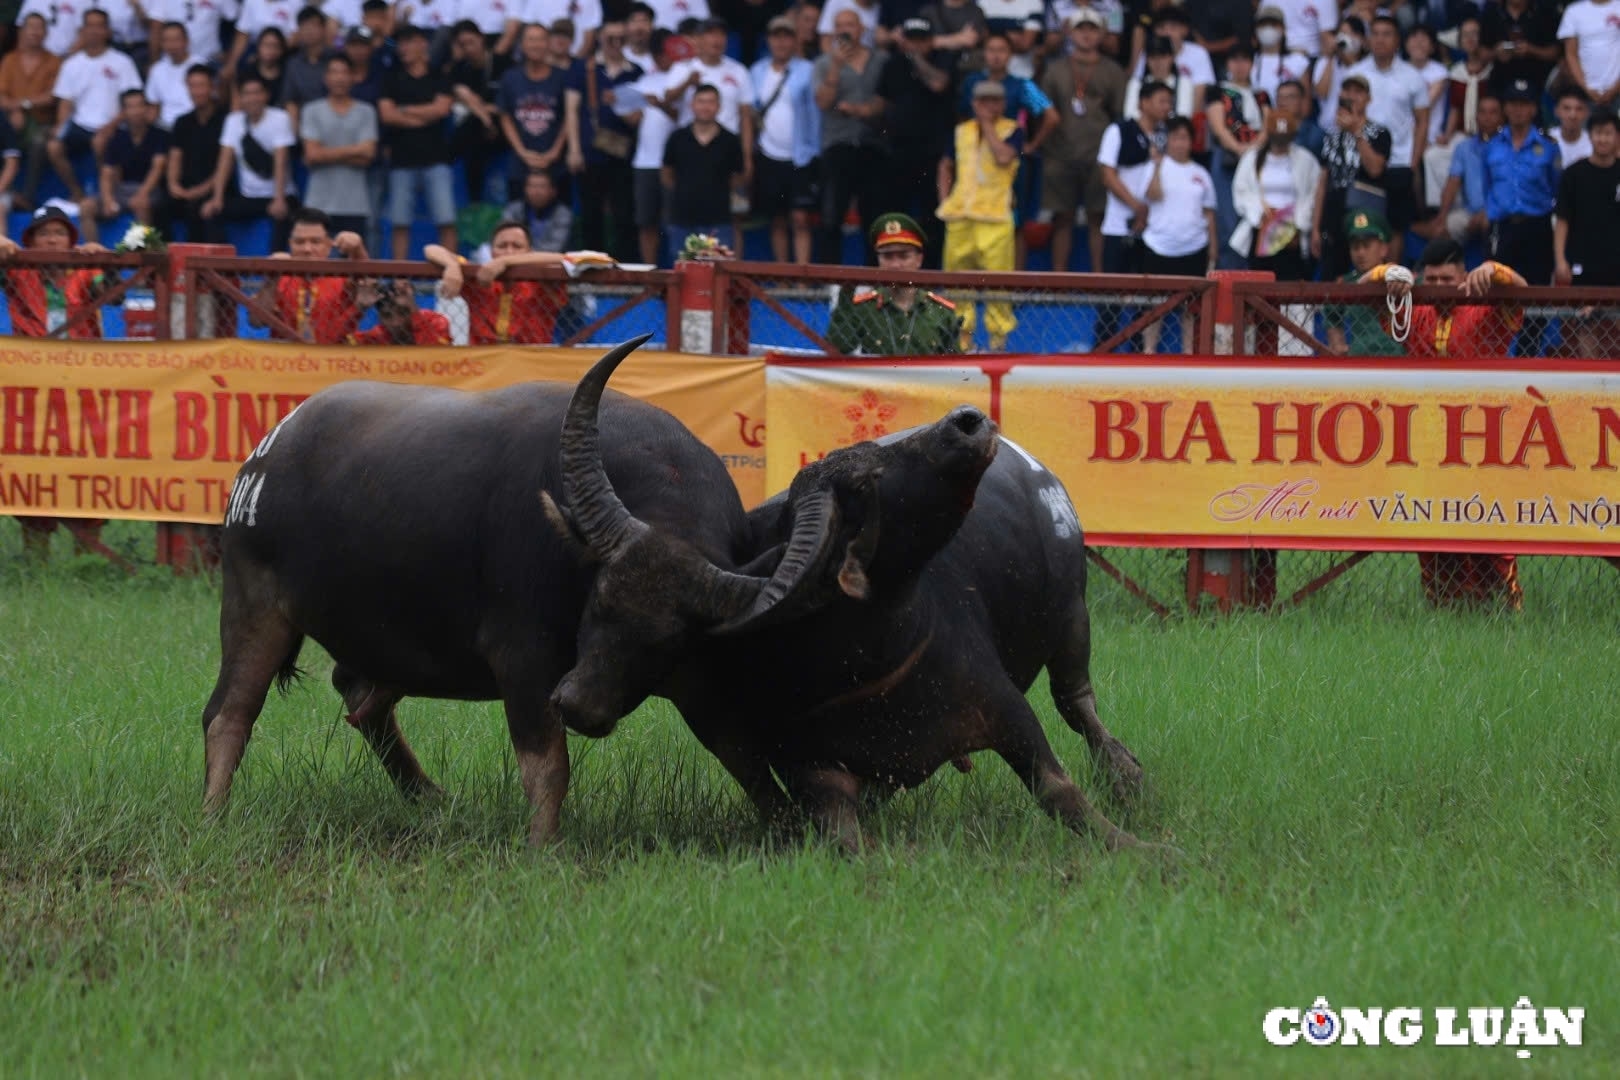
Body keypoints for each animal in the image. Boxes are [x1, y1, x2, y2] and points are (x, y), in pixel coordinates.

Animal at [200, 333, 835, 841]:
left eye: (670, 639)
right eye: (599, 600)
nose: (580, 705)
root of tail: (268, 451)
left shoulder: (696, 675)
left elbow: (743, 754)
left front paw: (792, 830)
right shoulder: (523, 662)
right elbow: (547, 765)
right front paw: (541, 848)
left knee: (360, 697)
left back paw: (429, 796)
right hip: (253, 604)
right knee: (229, 713)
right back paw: (215, 815)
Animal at [560, 346, 1153, 854]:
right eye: (871, 478)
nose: (967, 420)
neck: (868, 648)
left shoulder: (1006, 708)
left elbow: (1061, 792)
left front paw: (1153, 851)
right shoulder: (809, 766)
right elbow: (845, 834)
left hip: (1073, 617)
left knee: (1077, 703)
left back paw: (1128, 778)